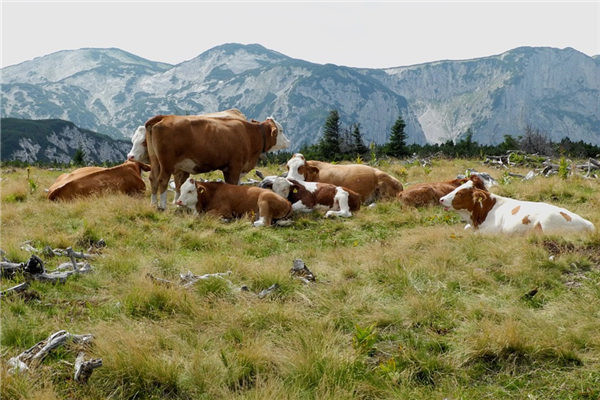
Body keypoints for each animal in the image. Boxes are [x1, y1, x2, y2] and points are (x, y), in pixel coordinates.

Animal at [143, 115, 288, 209]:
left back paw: (153, 204)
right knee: (162, 180)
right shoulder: (234, 166)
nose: (288, 141)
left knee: (153, 178)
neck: (249, 135)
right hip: (166, 163)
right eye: (280, 130)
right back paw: (162, 206)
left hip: (155, 160)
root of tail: (164, 117)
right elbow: (232, 184)